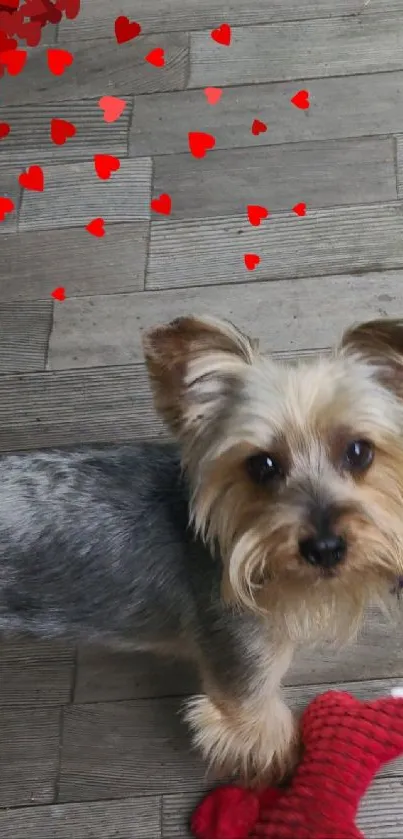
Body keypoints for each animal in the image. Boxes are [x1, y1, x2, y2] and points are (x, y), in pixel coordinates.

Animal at [0, 316, 403, 788]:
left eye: (359, 451)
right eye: (262, 465)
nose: (325, 548)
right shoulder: (242, 667)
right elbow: (261, 729)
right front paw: (283, 772)